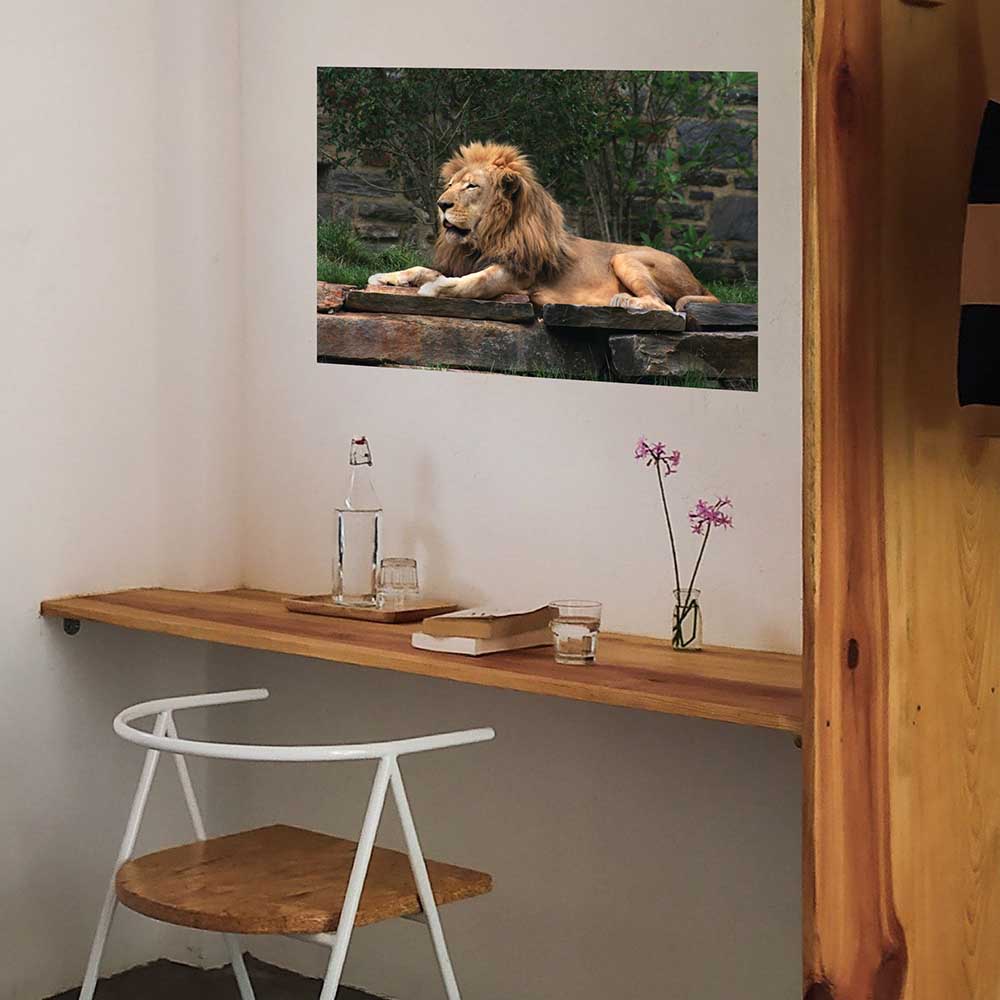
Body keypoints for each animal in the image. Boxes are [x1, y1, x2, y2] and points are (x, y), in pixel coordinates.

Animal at [368, 141, 719, 314]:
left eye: (471, 186)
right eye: (451, 185)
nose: (441, 204)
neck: (487, 238)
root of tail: (700, 284)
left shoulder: (515, 275)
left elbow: (472, 283)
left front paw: (434, 288)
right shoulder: (465, 261)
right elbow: (420, 269)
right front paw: (385, 277)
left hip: (625, 257)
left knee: (664, 305)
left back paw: (623, 301)